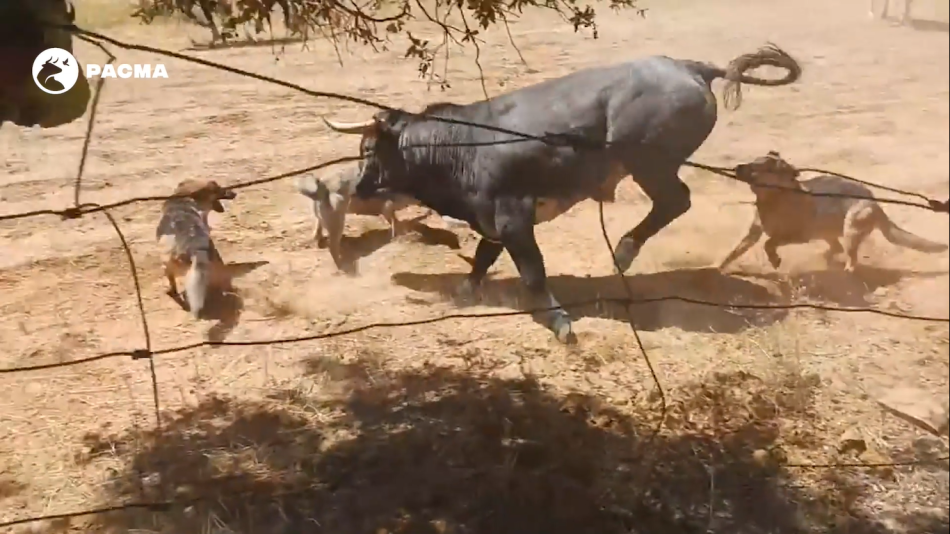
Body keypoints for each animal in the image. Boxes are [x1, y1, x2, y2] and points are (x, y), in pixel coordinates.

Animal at [326, 43, 804, 344]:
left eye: (367, 149)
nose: (358, 187)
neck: (460, 144)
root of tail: (690, 67)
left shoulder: (513, 215)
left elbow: (533, 271)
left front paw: (559, 322)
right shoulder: (492, 218)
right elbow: (482, 256)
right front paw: (466, 291)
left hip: (648, 163)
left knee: (676, 200)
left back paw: (624, 251)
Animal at [716, 152, 948, 274]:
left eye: (762, 167)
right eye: (753, 160)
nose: (736, 167)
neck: (774, 198)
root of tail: (875, 202)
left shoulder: (797, 235)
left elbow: (769, 243)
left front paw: (775, 260)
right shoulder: (753, 234)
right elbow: (734, 252)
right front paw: (716, 267)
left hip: (850, 228)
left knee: (851, 256)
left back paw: (846, 272)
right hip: (829, 231)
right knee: (836, 248)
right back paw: (827, 260)